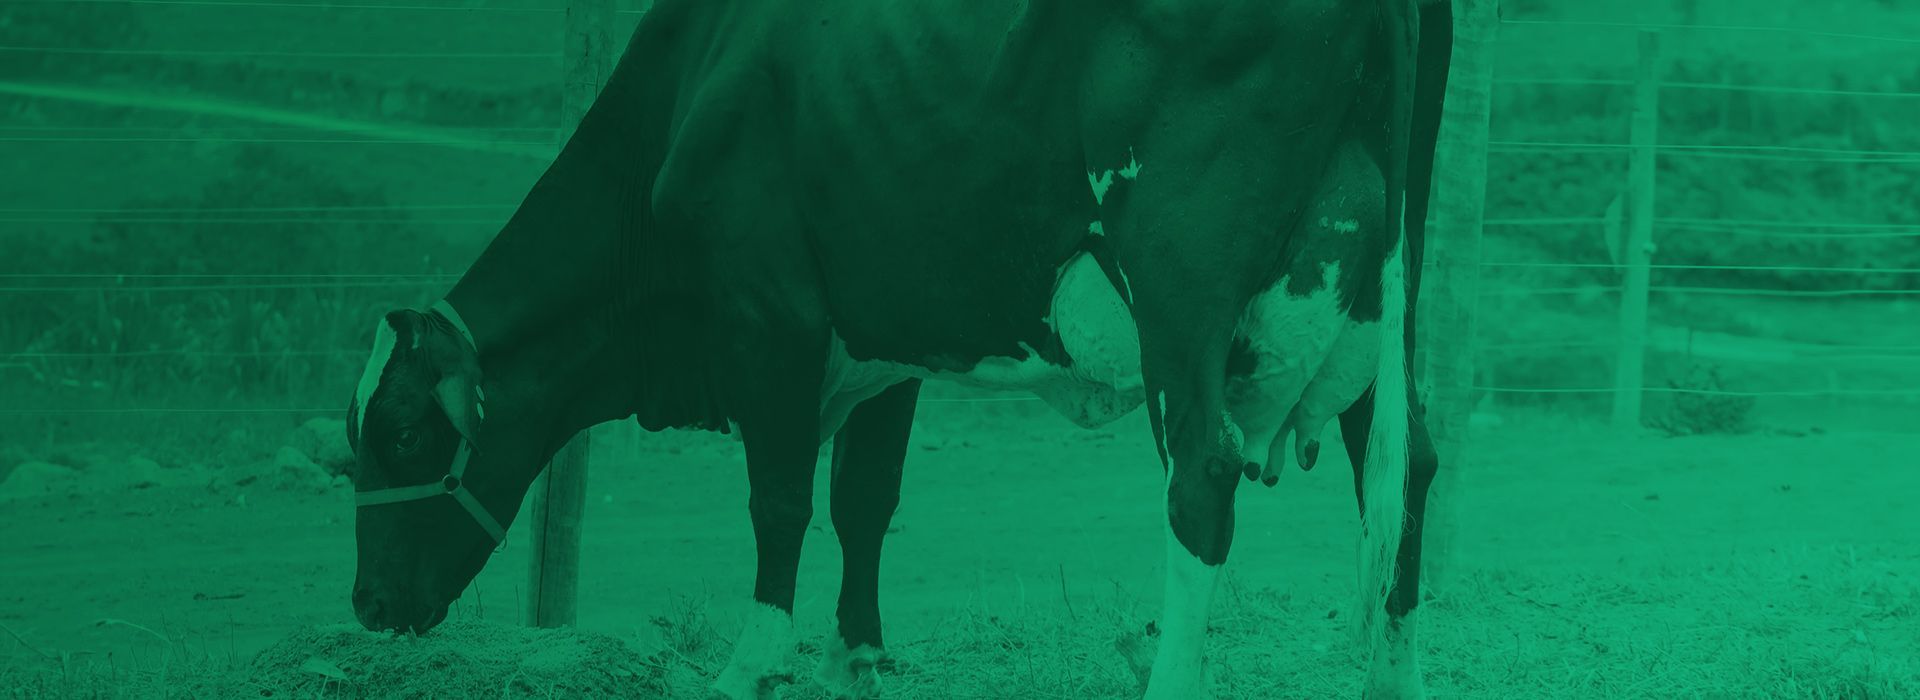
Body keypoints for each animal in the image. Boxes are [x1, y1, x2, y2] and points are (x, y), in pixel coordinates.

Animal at [343, 0, 1453, 698]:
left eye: (400, 433)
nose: (368, 602)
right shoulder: (887, 337)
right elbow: (865, 499)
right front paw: (858, 657)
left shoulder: (769, 317)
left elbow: (781, 501)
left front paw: (754, 661)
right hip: (1382, 288)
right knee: (1406, 461)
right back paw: (1394, 677)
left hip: (1180, 288)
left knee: (1202, 477)